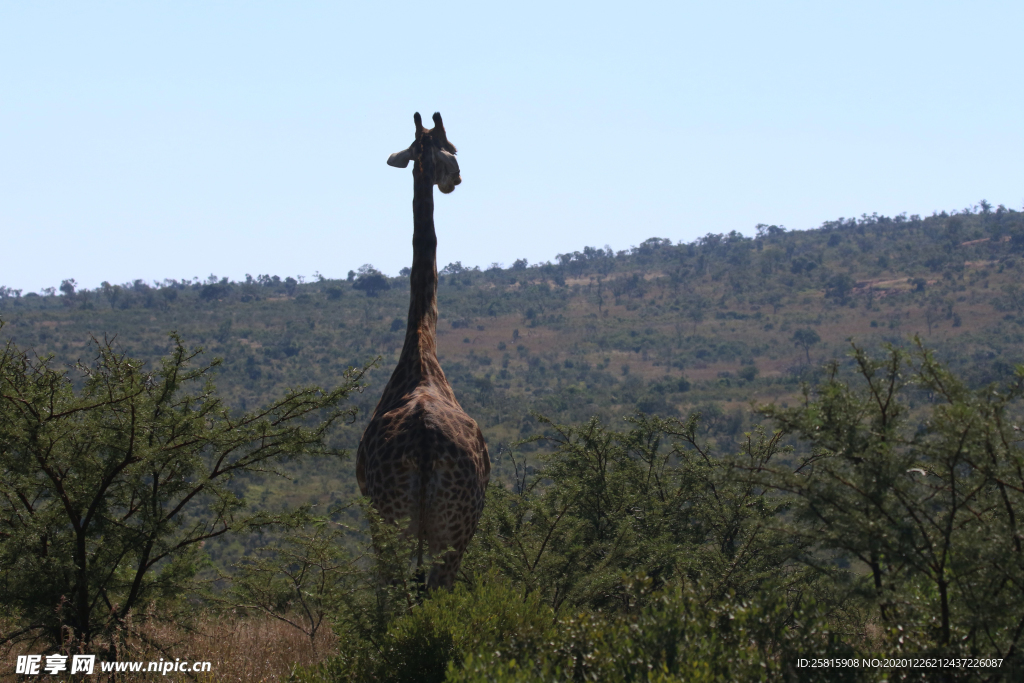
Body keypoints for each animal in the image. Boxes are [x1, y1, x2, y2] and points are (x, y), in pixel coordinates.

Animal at [356, 111, 491, 589]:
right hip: (448, 531)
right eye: (452, 149)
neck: (421, 345)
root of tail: (427, 442)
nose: (456, 179)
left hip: (401, 524)